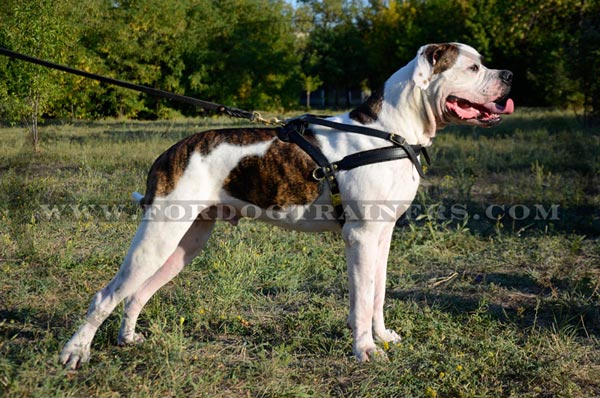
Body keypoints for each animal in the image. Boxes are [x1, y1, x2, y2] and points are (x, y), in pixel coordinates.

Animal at [58, 42, 512, 368]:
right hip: (157, 236)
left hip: (184, 243)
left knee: (136, 293)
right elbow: (361, 298)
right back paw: (76, 353)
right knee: (106, 295)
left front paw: (382, 337)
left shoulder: (381, 236)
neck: (391, 131)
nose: (508, 74)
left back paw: (127, 338)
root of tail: (169, 152)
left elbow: (377, 294)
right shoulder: (361, 237)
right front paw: (365, 350)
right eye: (473, 68)